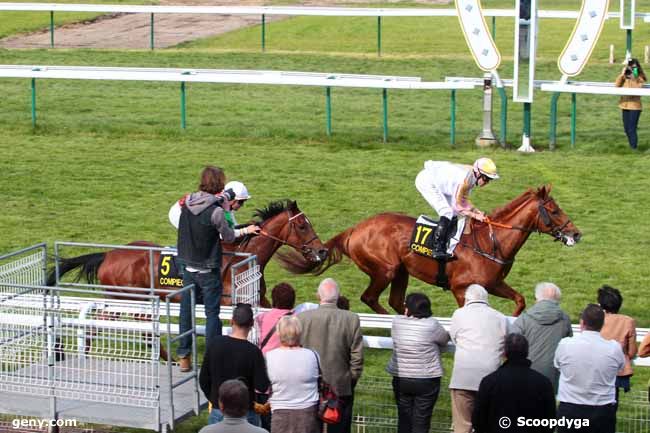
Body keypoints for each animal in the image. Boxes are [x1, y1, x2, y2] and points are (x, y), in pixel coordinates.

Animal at [48, 200, 326, 308]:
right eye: (302, 226)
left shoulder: (259, 299)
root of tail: (109, 255)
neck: (241, 258)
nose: (321, 250)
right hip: (127, 297)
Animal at [278, 185, 576, 314]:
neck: (493, 242)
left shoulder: (493, 284)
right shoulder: (461, 288)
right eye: (554, 210)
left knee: (394, 300)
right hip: (386, 269)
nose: (575, 233)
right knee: (370, 298)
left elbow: (520, 300)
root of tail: (354, 229)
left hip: (401, 272)